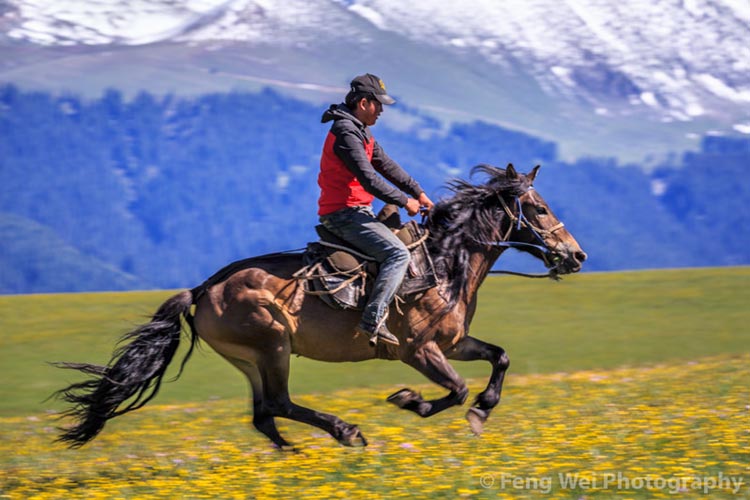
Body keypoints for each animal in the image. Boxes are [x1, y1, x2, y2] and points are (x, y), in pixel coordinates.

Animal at [55, 163, 592, 450]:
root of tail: (204, 289)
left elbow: (500, 358)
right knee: (278, 403)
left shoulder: (455, 343)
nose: (577, 256)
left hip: (248, 358)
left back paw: (296, 455)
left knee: (265, 415)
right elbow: (456, 390)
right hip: (272, 346)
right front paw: (410, 401)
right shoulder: (420, 351)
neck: (443, 265)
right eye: (539, 208)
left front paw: (483, 409)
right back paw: (346, 432)